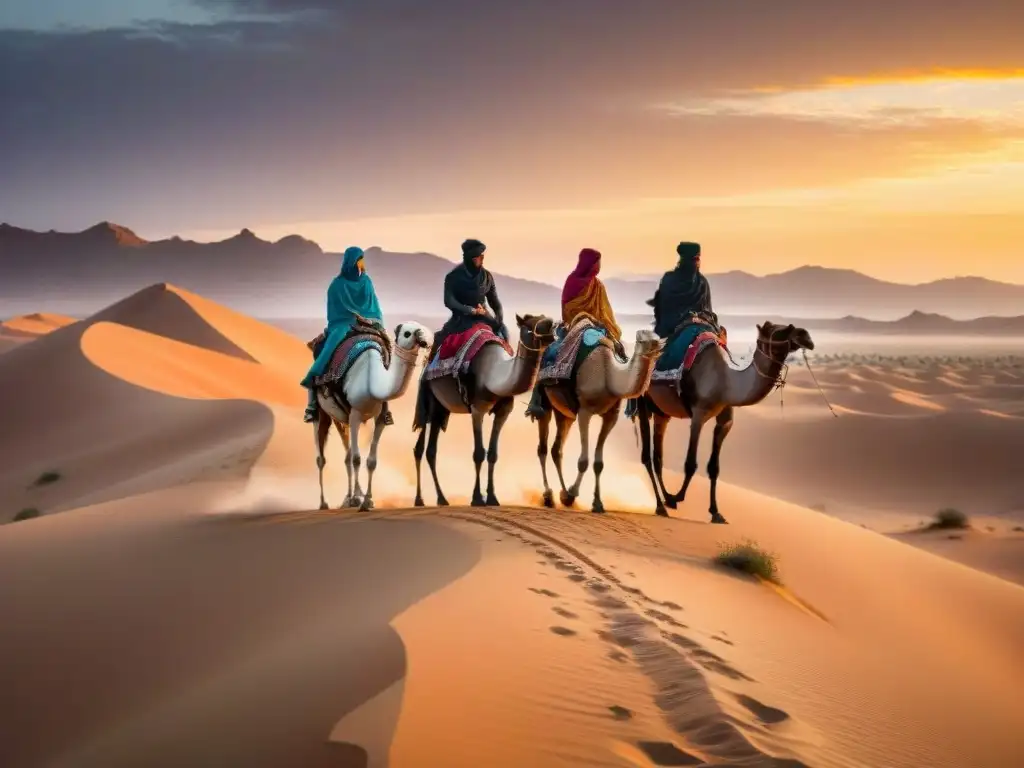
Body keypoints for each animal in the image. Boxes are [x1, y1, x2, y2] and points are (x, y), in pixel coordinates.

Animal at [309, 321, 425, 514]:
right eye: (407, 333)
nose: (423, 339)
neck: (371, 379)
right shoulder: (355, 414)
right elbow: (357, 459)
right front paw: (360, 500)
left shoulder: (379, 418)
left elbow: (371, 461)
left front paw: (367, 500)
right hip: (322, 413)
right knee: (321, 458)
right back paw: (324, 503)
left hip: (341, 420)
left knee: (346, 455)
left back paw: (347, 499)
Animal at [411, 309, 557, 507]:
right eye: (529, 325)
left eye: (544, 320)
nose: (551, 325)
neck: (493, 374)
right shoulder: (477, 409)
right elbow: (479, 453)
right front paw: (477, 498)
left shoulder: (504, 410)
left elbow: (493, 454)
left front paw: (493, 498)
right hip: (430, 401)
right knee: (419, 448)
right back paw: (420, 500)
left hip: (442, 410)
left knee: (431, 450)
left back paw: (441, 498)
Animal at [532, 321, 667, 514]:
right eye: (641, 339)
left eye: (656, 340)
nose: (654, 350)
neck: (608, 376)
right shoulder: (584, 412)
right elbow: (584, 461)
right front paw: (573, 494)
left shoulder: (611, 417)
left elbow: (598, 463)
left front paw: (596, 502)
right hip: (545, 400)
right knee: (542, 448)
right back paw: (549, 496)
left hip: (564, 414)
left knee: (556, 450)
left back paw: (562, 493)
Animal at [630, 321, 815, 528]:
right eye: (780, 330)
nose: (806, 337)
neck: (725, 381)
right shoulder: (698, 415)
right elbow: (690, 463)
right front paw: (678, 497)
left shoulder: (725, 420)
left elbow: (714, 467)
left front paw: (716, 513)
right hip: (643, 399)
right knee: (646, 456)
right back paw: (662, 505)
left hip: (662, 411)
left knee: (658, 457)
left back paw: (666, 499)